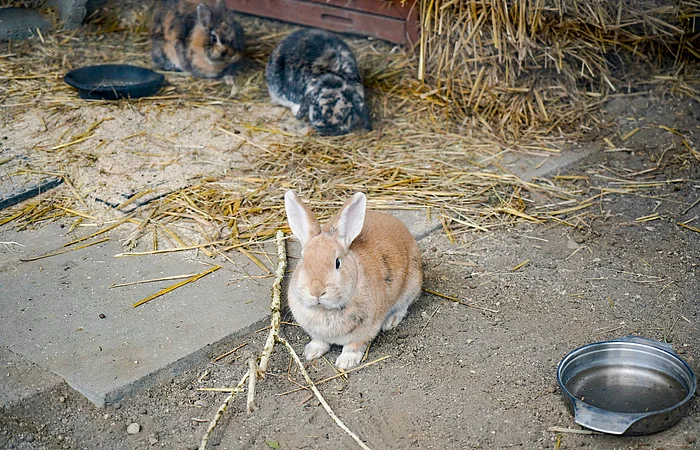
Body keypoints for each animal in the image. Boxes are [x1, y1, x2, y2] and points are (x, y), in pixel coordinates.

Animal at [284, 190, 423, 369]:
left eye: (337, 262)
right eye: (302, 259)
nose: (316, 291)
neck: (325, 310)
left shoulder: (365, 330)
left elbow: (353, 346)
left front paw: (346, 362)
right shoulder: (316, 333)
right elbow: (319, 341)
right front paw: (311, 352)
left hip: (411, 284)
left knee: (404, 305)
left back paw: (391, 321)